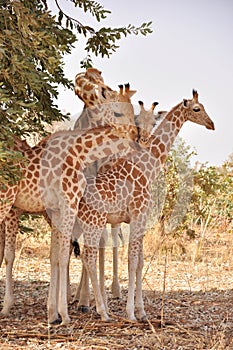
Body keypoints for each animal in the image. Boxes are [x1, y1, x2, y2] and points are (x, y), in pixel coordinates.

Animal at [62, 89, 215, 320]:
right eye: (197, 109)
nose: (211, 124)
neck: (147, 166)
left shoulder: (141, 219)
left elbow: (140, 262)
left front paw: (141, 311)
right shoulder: (138, 215)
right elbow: (132, 261)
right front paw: (131, 312)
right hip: (94, 222)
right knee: (88, 256)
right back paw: (100, 310)